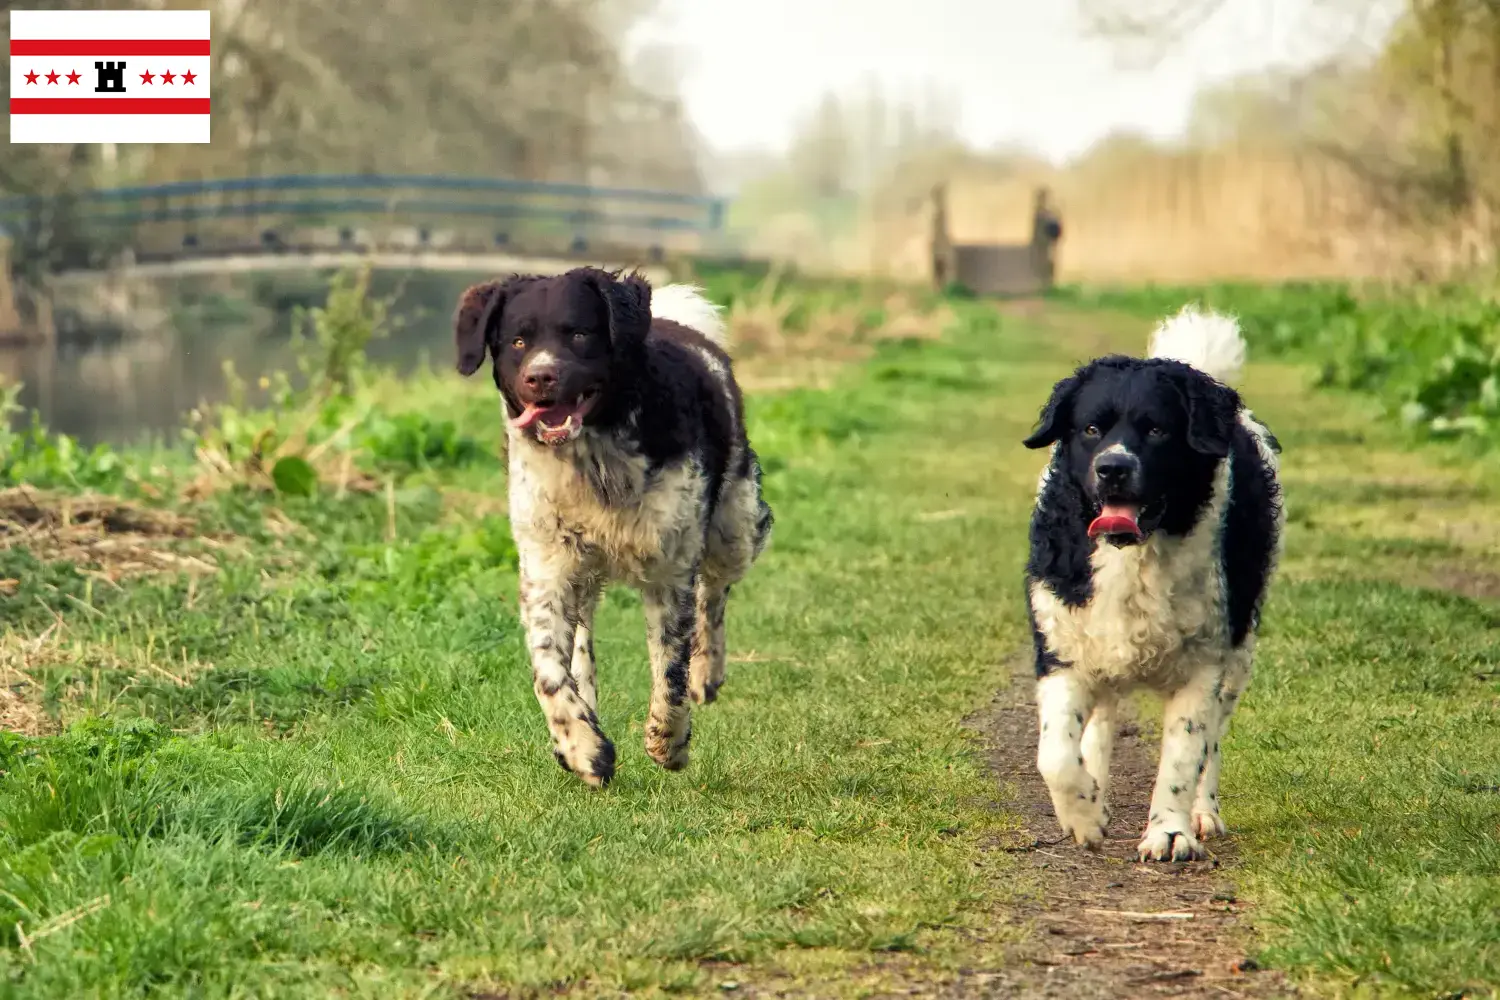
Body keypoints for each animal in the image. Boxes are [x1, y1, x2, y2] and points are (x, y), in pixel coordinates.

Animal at [453, 265, 774, 791]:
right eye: (518, 340)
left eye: (579, 334)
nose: (540, 377)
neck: (593, 461)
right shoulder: (547, 566)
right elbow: (549, 671)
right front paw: (582, 747)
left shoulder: (670, 569)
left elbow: (670, 667)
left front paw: (669, 742)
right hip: (585, 574)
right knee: (583, 645)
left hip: (736, 526)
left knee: (714, 595)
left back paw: (708, 674)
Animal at [1026, 308, 1284, 863]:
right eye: (1091, 428)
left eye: (1158, 430)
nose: (1113, 468)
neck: (1132, 552)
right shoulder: (1064, 645)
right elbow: (1055, 754)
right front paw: (1083, 814)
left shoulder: (1205, 662)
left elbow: (1185, 754)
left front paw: (1170, 832)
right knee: (1100, 723)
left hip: (1239, 655)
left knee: (1213, 741)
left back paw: (1204, 812)